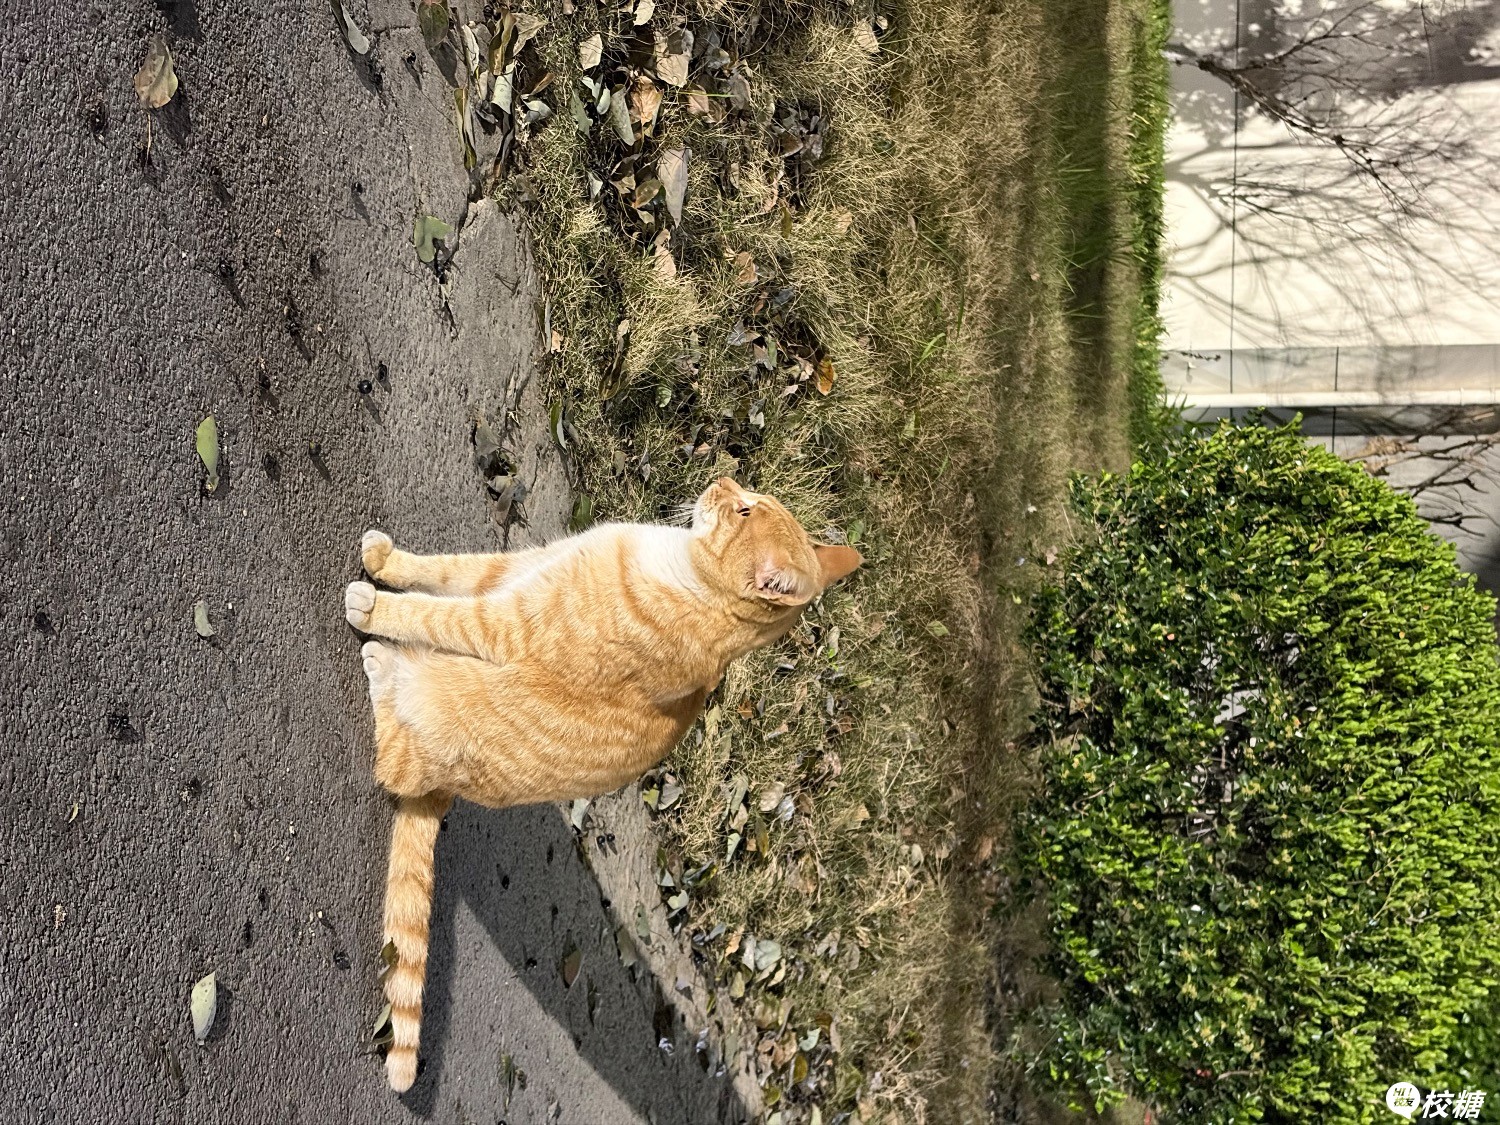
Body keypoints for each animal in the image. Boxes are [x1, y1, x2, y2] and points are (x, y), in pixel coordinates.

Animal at [344, 476, 862, 1091]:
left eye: (742, 510)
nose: (723, 477)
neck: (674, 566)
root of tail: (443, 788)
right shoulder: (517, 569)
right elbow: (446, 571)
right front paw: (384, 560)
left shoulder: (503, 626)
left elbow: (432, 613)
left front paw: (373, 603)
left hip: (436, 711)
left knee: (393, 754)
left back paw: (382, 663)